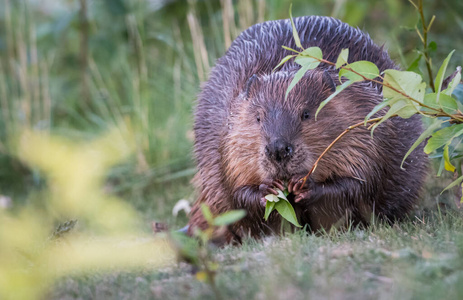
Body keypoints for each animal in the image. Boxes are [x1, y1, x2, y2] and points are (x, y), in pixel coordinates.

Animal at [187, 15, 430, 243]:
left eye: (305, 114)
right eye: (257, 117)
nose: (278, 149)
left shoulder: (366, 118)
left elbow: (361, 182)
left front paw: (304, 186)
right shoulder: (225, 138)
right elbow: (235, 192)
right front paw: (269, 190)